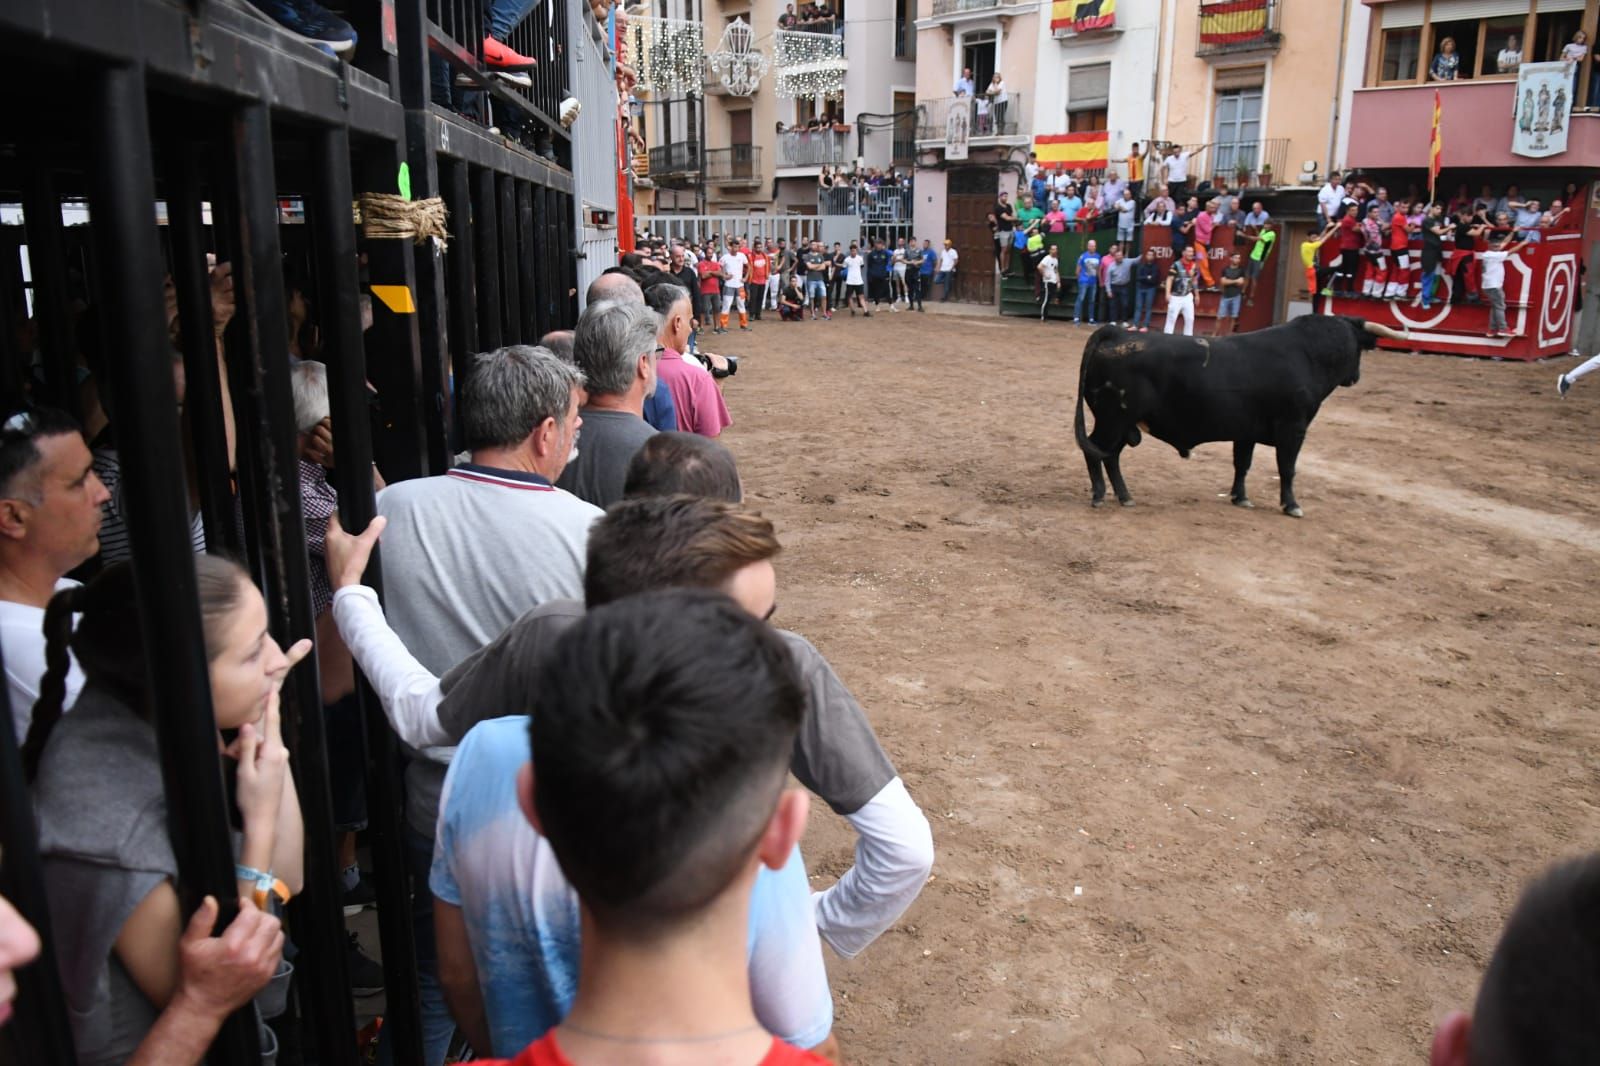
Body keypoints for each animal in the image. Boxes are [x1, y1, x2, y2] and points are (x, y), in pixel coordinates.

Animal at [1075, 313, 1401, 515]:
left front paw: (1240, 497)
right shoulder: (1293, 428)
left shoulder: (1247, 432)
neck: (1309, 355)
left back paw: (1125, 496)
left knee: (1110, 455)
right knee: (1096, 451)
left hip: (1121, 423)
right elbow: (1287, 468)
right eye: (1357, 349)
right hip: (1112, 420)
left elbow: (1242, 464)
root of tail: (1116, 331)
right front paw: (1291, 505)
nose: (1355, 377)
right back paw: (1100, 495)